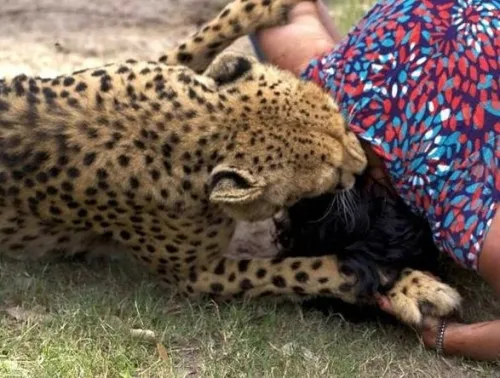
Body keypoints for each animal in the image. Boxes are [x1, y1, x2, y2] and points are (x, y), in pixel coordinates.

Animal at [0, 0, 460, 326]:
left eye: (341, 119)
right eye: (329, 174)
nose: (364, 165)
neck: (196, 126)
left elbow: (197, 42)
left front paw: (262, 6)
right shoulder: (196, 276)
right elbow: (302, 268)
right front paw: (403, 283)